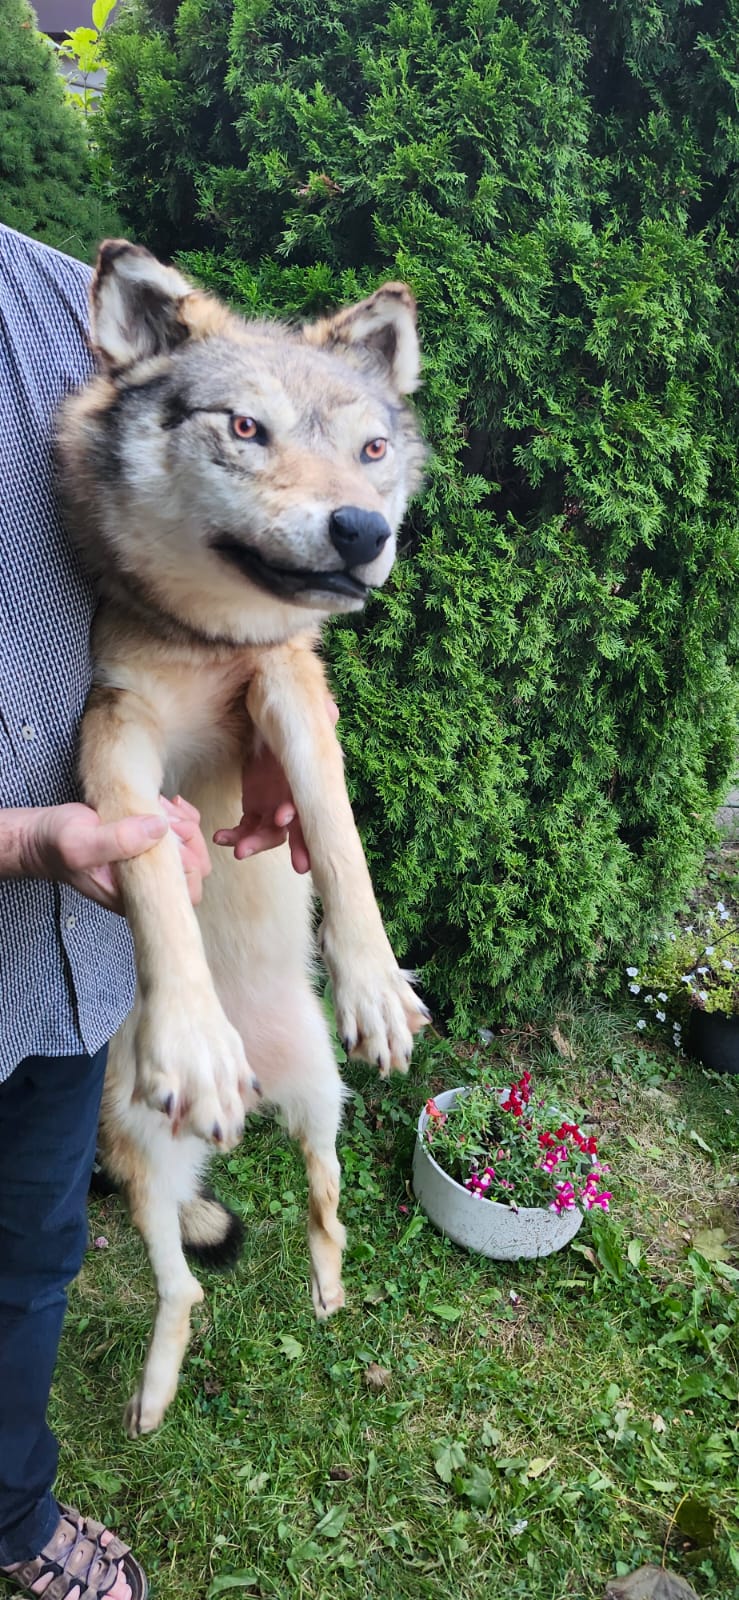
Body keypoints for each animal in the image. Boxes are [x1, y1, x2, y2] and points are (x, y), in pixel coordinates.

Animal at [56, 240, 428, 1436]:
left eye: (370, 449)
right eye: (246, 428)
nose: (363, 530)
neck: (204, 642)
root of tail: (270, 1088)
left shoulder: (288, 693)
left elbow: (337, 830)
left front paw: (374, 982)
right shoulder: (115, 739)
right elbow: (147, 871)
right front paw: (193, 1035)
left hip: (323, 1103)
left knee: (326, 1199)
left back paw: (329, 1291)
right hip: (144, 1156)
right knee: (183, 1288)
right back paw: (156, 1393)